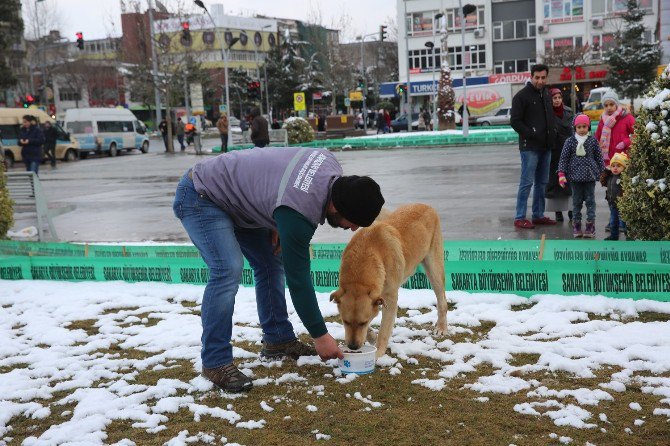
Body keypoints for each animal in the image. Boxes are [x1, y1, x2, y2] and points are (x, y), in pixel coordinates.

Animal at [330, 203, 448, 358]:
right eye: (345, 321)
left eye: (363, 322)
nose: (353, 347)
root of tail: (426, 205)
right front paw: (371, 336)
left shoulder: (390, 299)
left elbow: (384, 330)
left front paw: (378, 352)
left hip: (434, 269)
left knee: (442, 301)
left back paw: (441, 327)